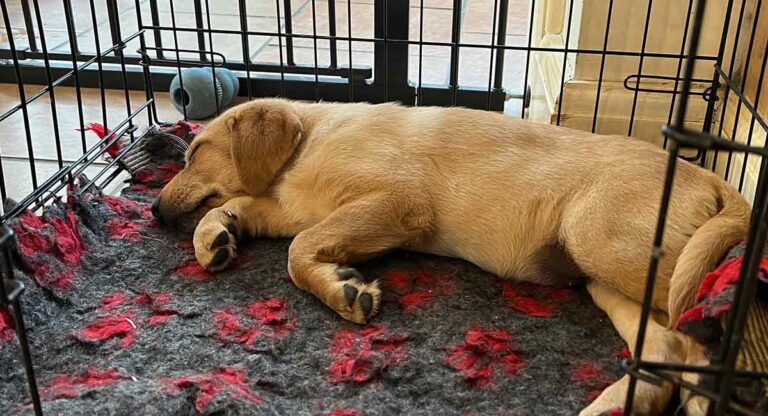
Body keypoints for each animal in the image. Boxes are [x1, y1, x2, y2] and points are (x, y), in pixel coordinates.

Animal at [154, 99, 752, 414]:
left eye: (195, 151)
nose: (155, 211)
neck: (310, 143)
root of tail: (714, 179)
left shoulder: (396, 201)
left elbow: (298, 250)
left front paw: (346, 292)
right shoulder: (298, 208)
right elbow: (246, 210)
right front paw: (215, 236)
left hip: (610, 242)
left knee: (715, 313)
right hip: (606, 277)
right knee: (668, 348)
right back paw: (617, 404)